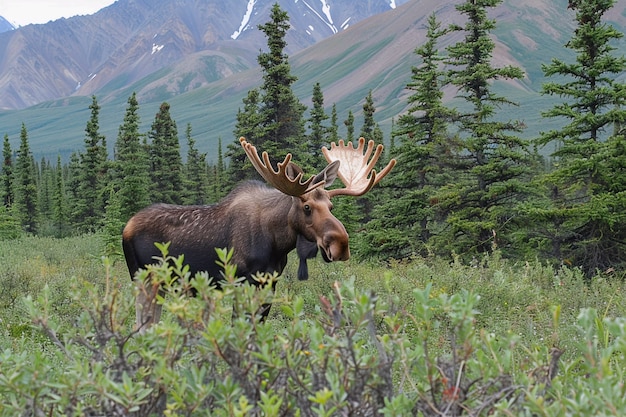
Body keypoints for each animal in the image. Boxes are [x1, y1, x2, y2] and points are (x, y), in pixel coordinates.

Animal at [122, 136, 394, 328]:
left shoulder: (270, 282)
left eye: (331, 206)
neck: (277, 243)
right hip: (143, 279)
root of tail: (126, 226)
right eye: (306, 207)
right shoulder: (242, 281)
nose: (341, 244)